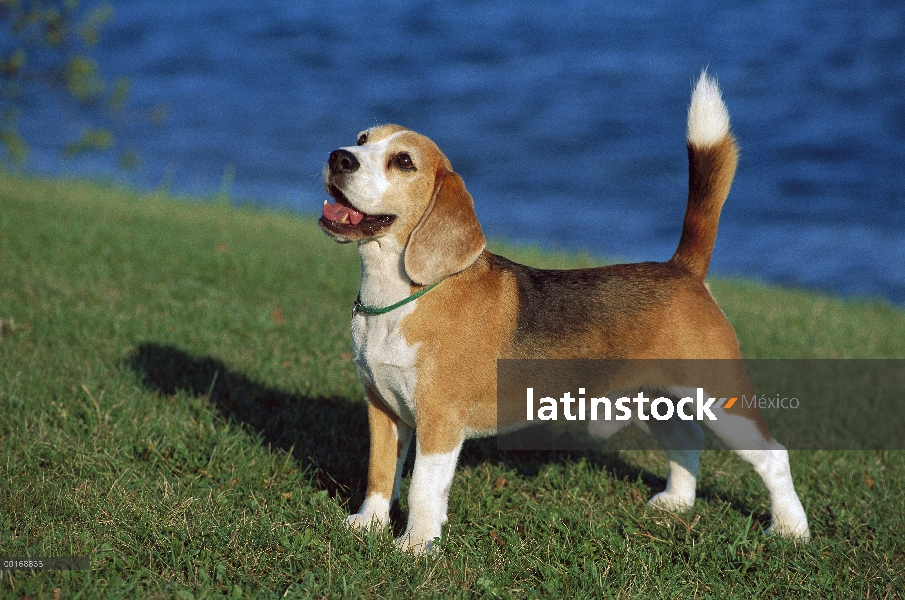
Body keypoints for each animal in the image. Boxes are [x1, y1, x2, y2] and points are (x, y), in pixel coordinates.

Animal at [320, 74, 812, 552]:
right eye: (362, 138)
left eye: (403, 162)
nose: (339, 157)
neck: (400, 295)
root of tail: (682, 269)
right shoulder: (382, 407)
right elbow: (380, 472)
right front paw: (368, 525)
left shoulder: (439, 421)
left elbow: (423, 488)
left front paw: (417, 546)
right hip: (655, 399)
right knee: (687, 441)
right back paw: (677, 502)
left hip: (722, 401)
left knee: (773, 456)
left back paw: (791, 529)